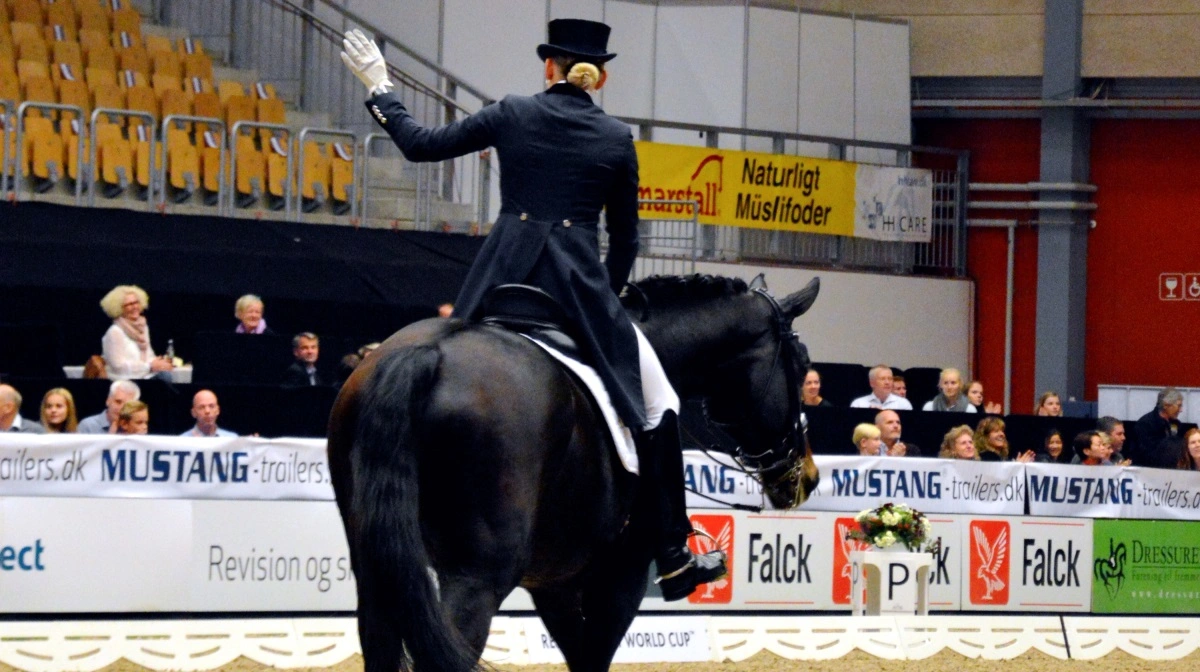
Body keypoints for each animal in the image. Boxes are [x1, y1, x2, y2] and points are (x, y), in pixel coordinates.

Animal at [324, 274, 820, 672]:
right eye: (800, 365)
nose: (809, 477)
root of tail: (425, 354)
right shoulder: (621, 574)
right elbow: (594, 658)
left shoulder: (555, 583)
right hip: (476, 578)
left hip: (381, 574)